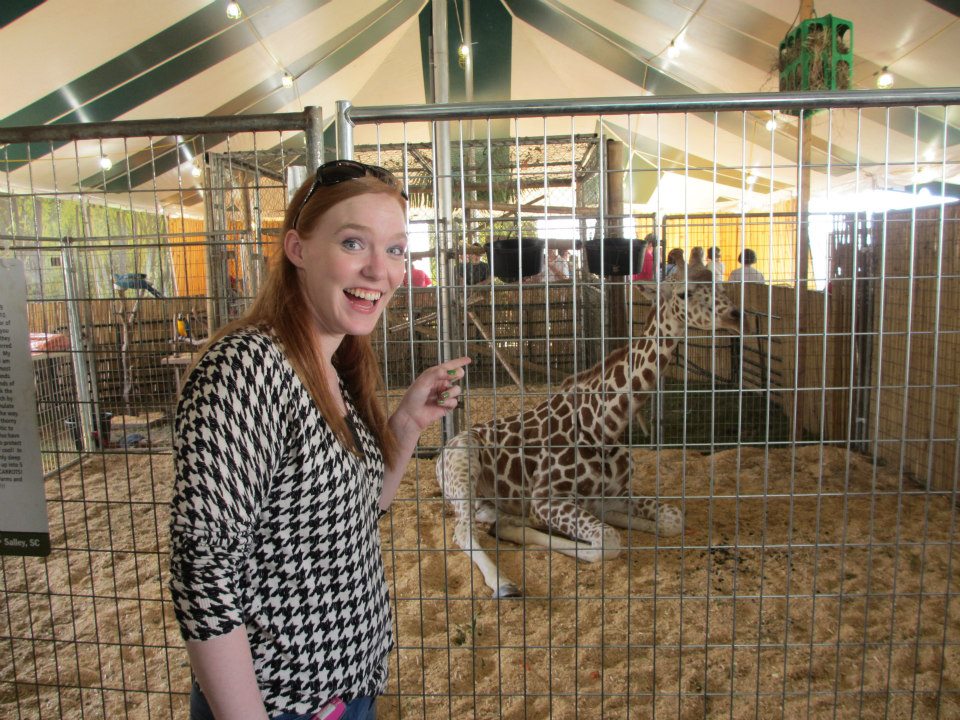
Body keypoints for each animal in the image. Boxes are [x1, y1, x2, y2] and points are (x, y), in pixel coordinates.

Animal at [436, 267, 741, 597]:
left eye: (721, 285)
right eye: (684, 293)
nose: (735, 315)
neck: (605, 424)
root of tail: (440, 456)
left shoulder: (617, 492)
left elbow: (672, 519)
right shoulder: (546, 499)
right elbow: (607, 541)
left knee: (488, 518)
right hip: (464, 463)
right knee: (463, 531)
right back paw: (504, 583)